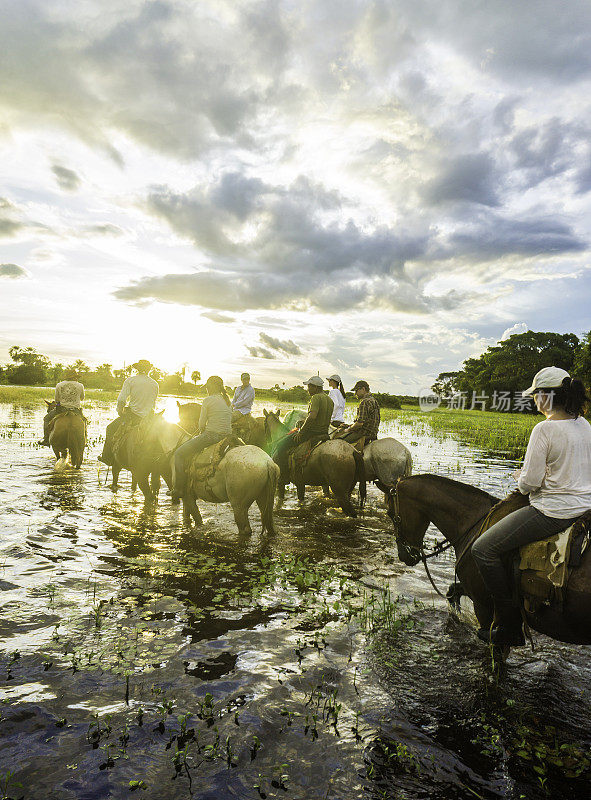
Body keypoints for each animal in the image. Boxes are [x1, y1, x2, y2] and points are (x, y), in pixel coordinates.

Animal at [386, 476, 591, 648]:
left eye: (390, 513)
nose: (404, 556)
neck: (472, 525)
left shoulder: (483, 606)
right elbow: (452, 591)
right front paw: (456, 616)